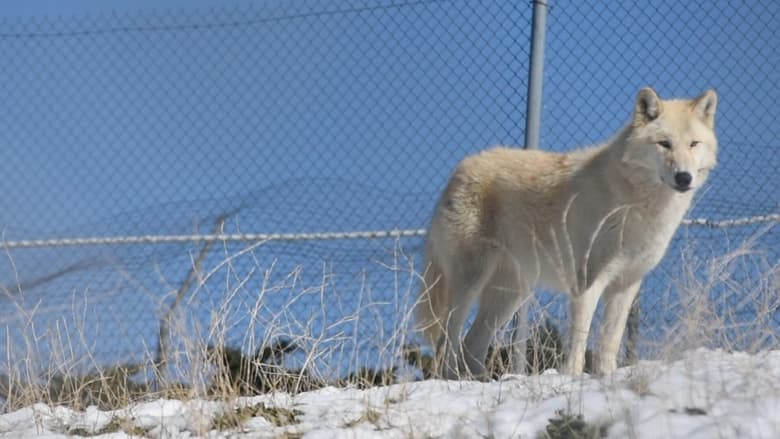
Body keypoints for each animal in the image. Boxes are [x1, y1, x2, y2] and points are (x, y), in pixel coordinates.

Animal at [418, 87, 716, 378]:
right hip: (471, 284)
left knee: (472, 345)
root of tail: (460, 169)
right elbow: (580, 338)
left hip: (510, 295)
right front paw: (573, 377)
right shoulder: (587, 283)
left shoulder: (626, 285)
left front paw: (608, 377)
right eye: (664, 144)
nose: (684, 178)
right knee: (448, 341)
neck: (636, 203)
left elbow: (611, 341)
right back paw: (450, 378)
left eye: (693, 144)